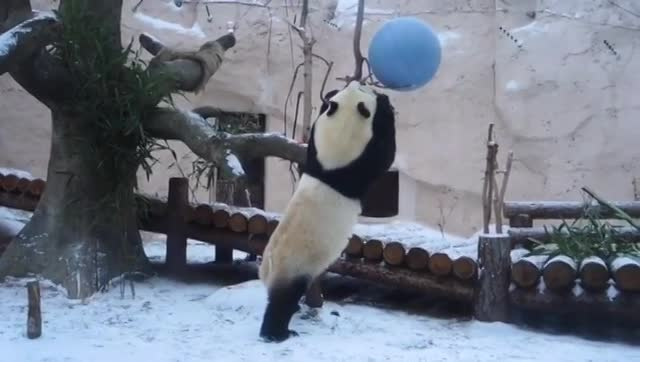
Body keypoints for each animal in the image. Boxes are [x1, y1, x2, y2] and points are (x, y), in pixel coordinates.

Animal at [258, 81, 394, 342]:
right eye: (365, 90)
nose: (360, 82)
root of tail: (267, 268)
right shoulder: (355, 167)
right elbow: (383, 155)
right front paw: (384, 105)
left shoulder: (317, 157)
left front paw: (328, 97)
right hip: (294, 265)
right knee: (282, 300)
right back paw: (277, 333)